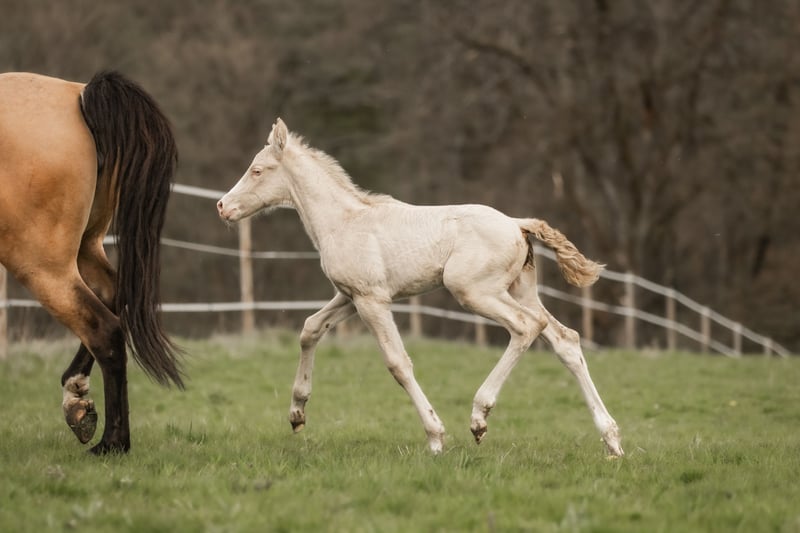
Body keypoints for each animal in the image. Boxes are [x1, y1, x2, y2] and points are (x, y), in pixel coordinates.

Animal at [0, 71, 183, 454]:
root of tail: (80, 94)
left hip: (42, 265)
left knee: (105, 329)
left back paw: (111, 442)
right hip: (85, 246)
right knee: (112, 293)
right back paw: (77, 399)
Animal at [217, 118, 623, 457]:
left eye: (257, 170)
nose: (222, 206)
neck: (345, 221)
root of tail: (518, 224)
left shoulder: (371, 300)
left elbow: (398, 363)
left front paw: (435, 436)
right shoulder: (350, 296)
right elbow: (310, 329)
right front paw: (297, 413)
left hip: (474, 291)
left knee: (526, 327)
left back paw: (479, 418)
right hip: (520, 291)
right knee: (565, 339)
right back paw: (612, 439)